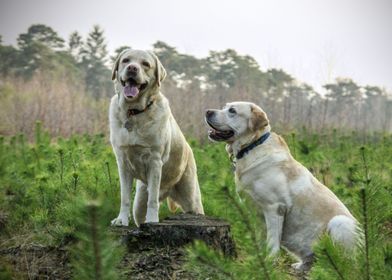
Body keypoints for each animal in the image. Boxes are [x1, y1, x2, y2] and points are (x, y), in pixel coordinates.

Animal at [108, 49, 204, 226]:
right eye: (126, 60)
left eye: (145, 64)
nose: (132, 68)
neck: (134, 112)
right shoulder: (123, 163)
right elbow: (124, 198)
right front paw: (121, 220)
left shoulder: (154, 161)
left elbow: (152, 200)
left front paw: (152, 221)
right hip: (139, 202)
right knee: (139, 212)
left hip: (192, 199)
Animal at [205, 101, 358, 270]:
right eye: (224, 107)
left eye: (232, 111)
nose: (208, 112)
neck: (252, 146)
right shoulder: (255, 212)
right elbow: (262, 239)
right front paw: (260, 260)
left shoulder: (275, 208)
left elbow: (272, 242)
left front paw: (269, 261)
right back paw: (302, 266)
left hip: (340, 222)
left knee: (348, 263)